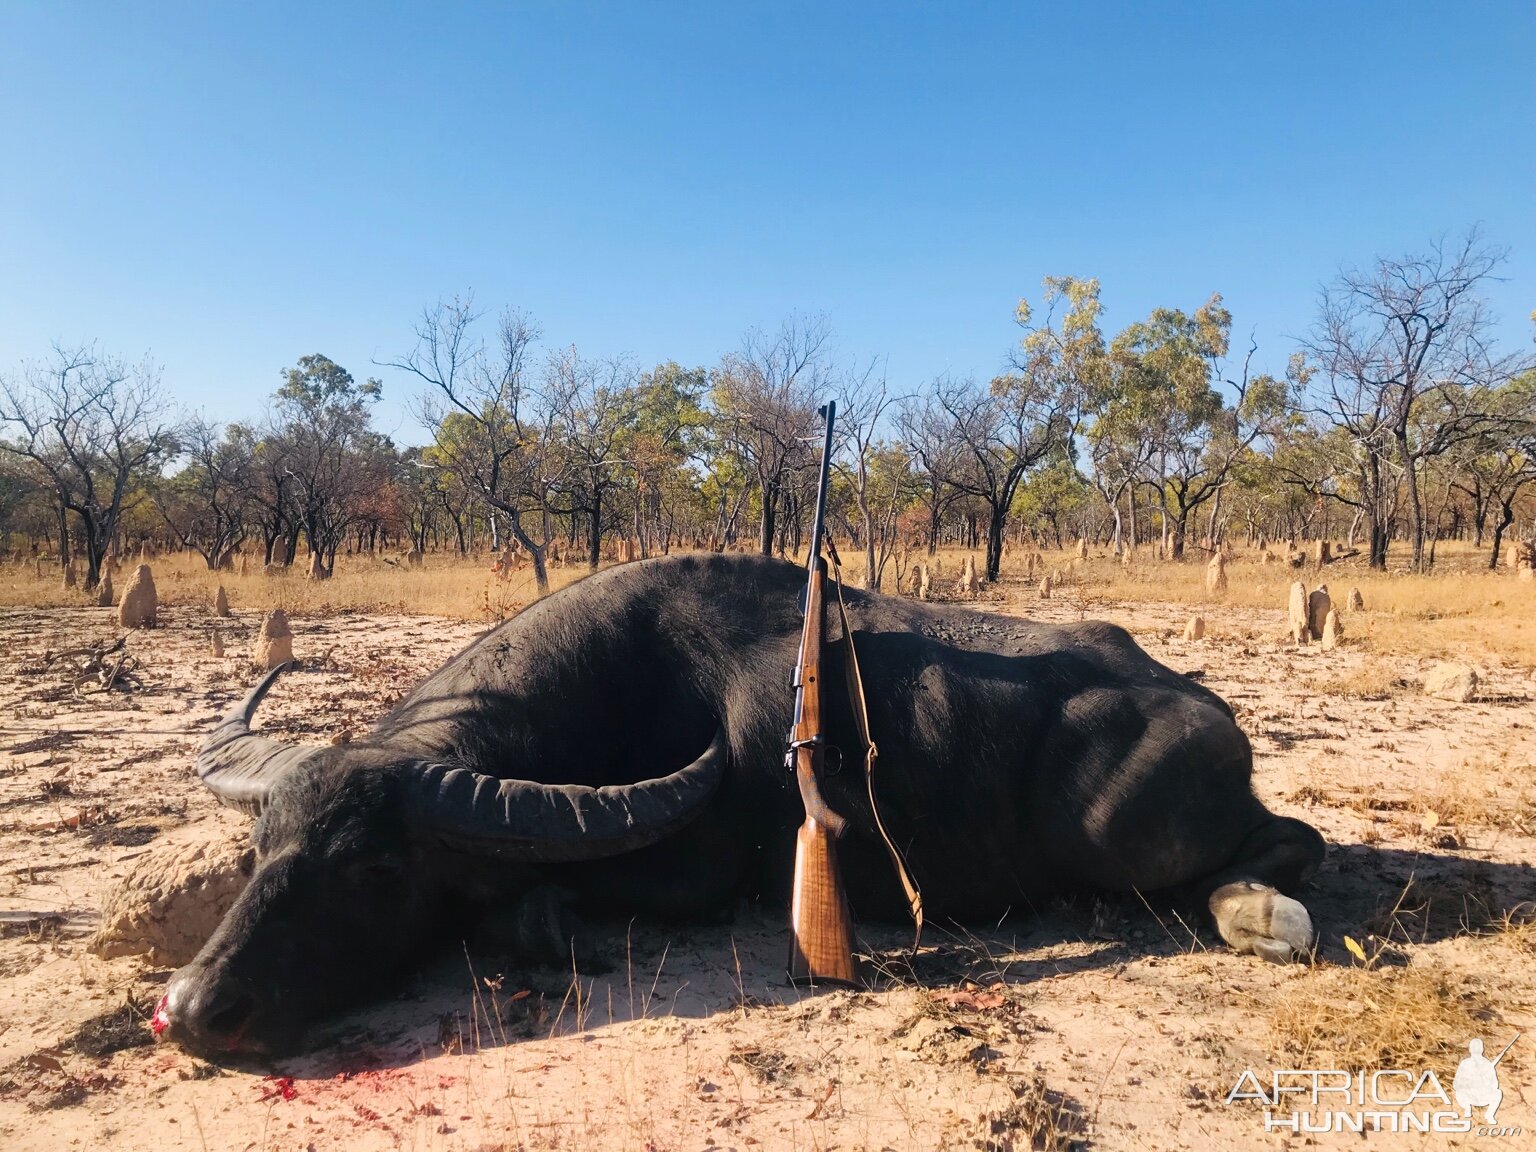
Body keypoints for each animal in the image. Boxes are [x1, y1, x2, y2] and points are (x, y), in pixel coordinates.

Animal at [162, 556, 1327, 1062]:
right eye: (263, 849)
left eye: (376, 870)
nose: (194, 1010)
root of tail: (1207, 710)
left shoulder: (697, 874)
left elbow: (527, 909)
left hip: (1122, 834)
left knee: (1294, 844)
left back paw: (1261, 915)